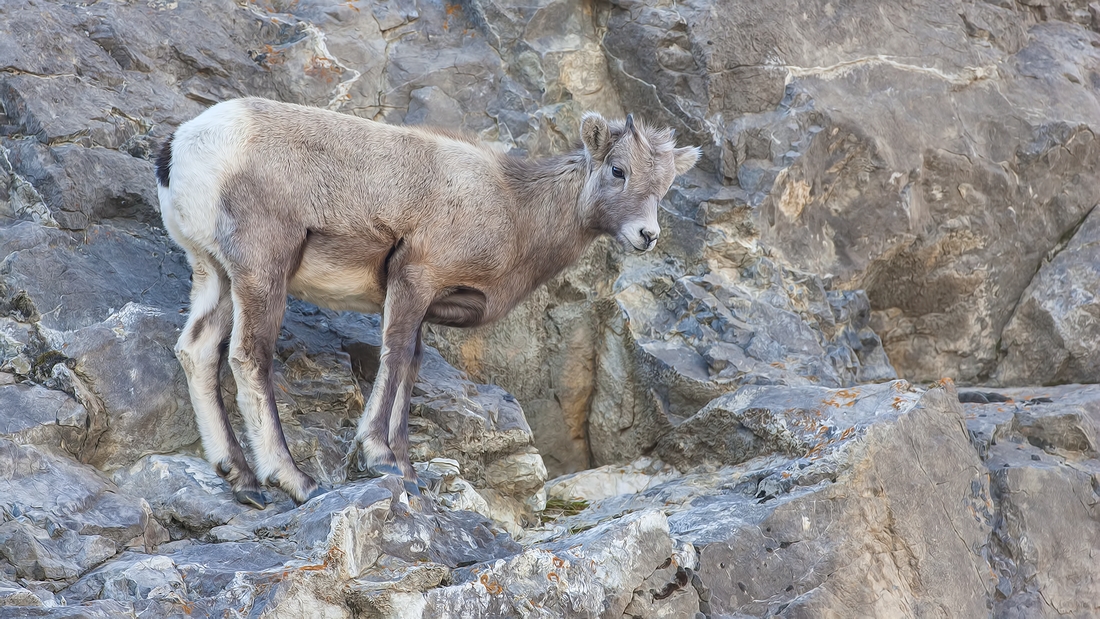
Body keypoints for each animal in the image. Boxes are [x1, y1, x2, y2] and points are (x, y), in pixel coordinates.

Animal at [156, 95, 699, 503]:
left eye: (666, 186)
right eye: (617, 170)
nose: (647, 235)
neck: (516, 209)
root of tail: (184, 150)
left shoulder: (424, 303)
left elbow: (412, 366)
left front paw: (406, 468)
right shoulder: (415, 276)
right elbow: (395, 357)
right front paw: (378, 458)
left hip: (215, 275)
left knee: (197, 350)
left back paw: (242, 480)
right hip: (261, 270)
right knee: (249, 356)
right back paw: (295, 481)